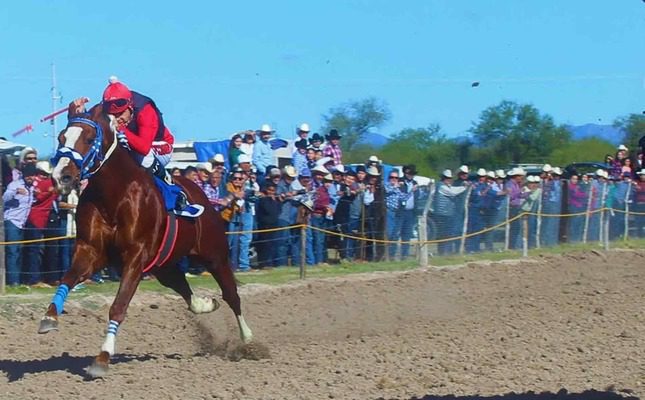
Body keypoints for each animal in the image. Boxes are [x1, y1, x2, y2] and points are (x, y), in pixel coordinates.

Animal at [38, 104, 253, 378]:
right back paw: (205, 304)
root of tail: (206, 197)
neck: (114, 196)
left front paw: (102, 358)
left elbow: (118, 306)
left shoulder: (136, 257)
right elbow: (66, 279)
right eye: (61, 137)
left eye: (88, 138)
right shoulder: (91, 250)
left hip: (215, 255)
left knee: (231, 295)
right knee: (182, 286)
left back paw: (248, 339)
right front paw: (49, 318)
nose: (61, 177)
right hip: (164, 265)